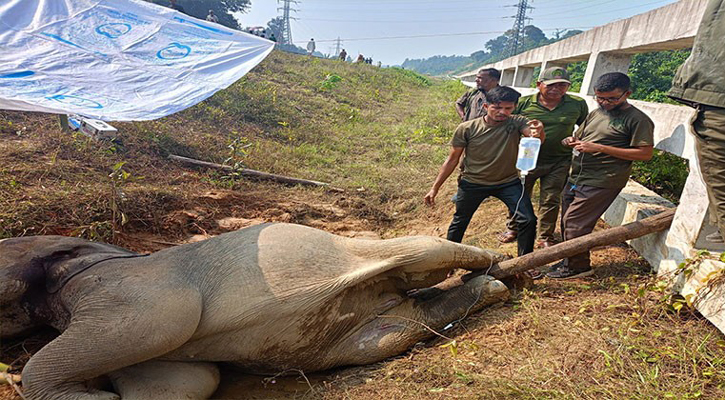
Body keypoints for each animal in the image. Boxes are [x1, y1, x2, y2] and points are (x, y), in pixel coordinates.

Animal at [0, 223, 510, 398]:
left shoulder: (130, 284)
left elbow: (165, 323)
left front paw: (95, 396)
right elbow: (185, 382)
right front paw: (102, 393)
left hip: (369, 249)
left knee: (423, 254)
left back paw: (496, 262)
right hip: (358, 333)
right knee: (396, 329)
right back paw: (489, 287)